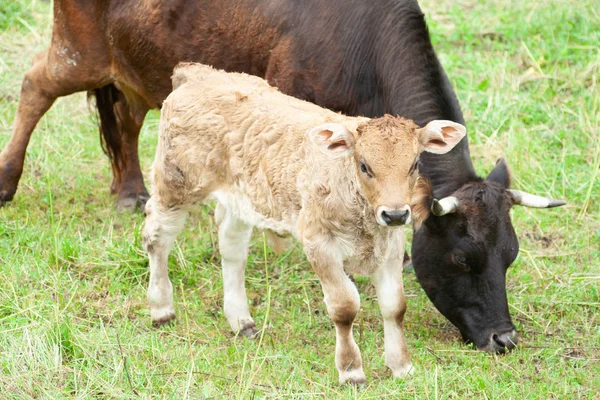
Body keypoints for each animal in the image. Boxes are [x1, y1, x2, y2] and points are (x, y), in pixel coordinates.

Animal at [0, 0, 564, 350]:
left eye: (510, 256)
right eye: (462, 258)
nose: (505, 339)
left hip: (134, 65)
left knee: (127, 116)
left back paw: (130, 191)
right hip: (79, 50)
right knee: (35, 86)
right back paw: (8, 182)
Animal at [143, 62, 466, 384]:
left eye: (414, 165)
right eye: (364, 166)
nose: (396, 214)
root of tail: (198, 73)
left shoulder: (392, 247)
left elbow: (395, 306)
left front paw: (401, 366)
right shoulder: (319, 244)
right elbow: (344, 307)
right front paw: (351, 370)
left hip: (242, 199)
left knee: (231, 248)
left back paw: (241, 320)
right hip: (175, 184)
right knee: (157, 237)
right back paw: (161, 308)